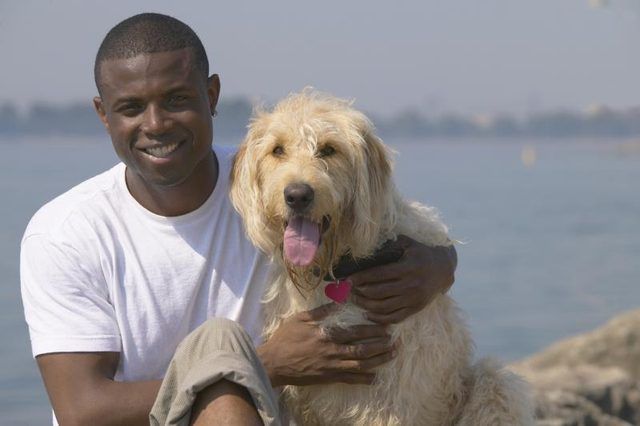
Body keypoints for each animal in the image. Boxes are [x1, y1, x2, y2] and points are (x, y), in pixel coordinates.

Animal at [230, 90, 536, 426]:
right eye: (277, 150)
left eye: (329, 149)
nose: (297, 195)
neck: (336, 269)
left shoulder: (390, 398)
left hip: (493, 384)